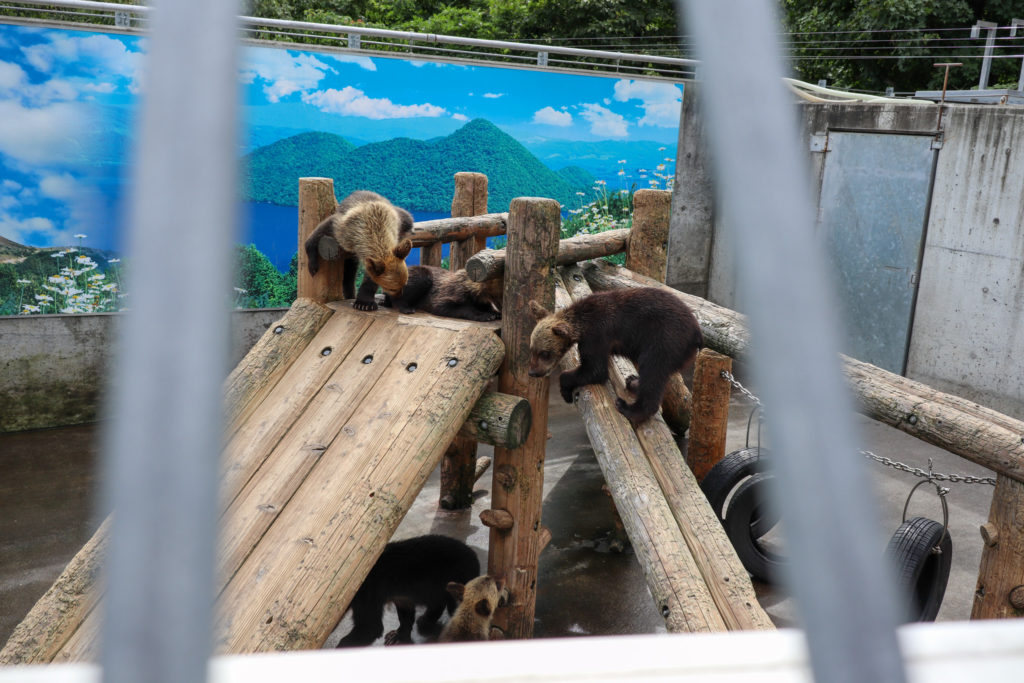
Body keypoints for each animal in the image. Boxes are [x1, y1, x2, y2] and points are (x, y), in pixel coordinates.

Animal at [335, 532, 479, 647]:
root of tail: (474, 556)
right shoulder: (402, 597)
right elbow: (405, 616)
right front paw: (399, 636)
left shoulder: (367, 592)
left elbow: (370, 627)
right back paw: (426, 620)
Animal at [528, 286, 704, 423]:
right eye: (532, 350)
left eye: (544, 353)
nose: (533, 372)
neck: (583, 323)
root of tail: (697, 332)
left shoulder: (597, 335)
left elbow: (595, 370)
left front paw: (566, 392)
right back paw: (633, 381)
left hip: (665, 339)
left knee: (653, 370)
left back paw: (629, 408)